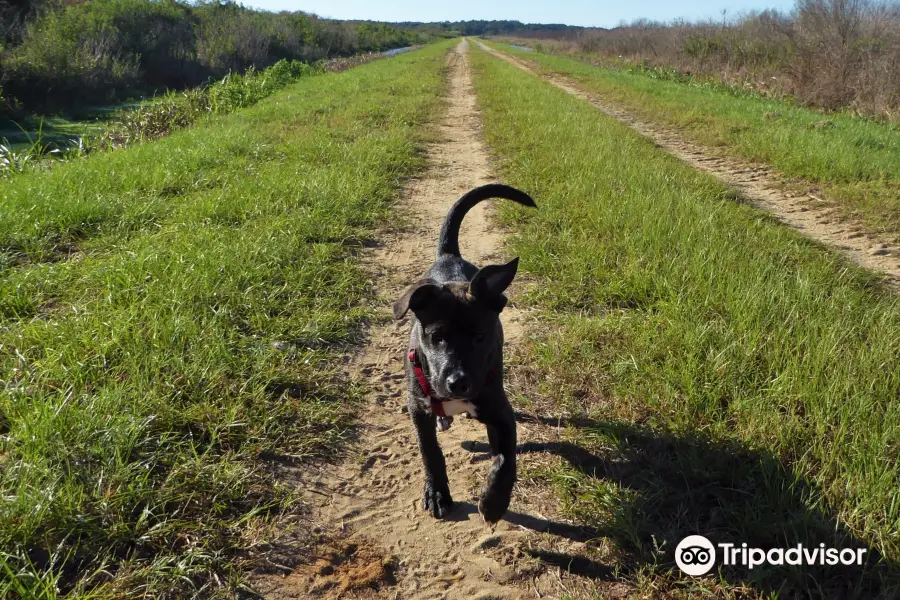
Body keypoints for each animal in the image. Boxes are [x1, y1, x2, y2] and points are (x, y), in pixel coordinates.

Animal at [392, 185, 536, 524]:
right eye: (436, 337)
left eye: (480, 338)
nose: (458, 383)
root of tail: (449, 257)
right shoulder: (417, 409)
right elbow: (430, 453)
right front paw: (437, 494)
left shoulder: (500, 413)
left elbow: (505, 461)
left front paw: (494, 503)